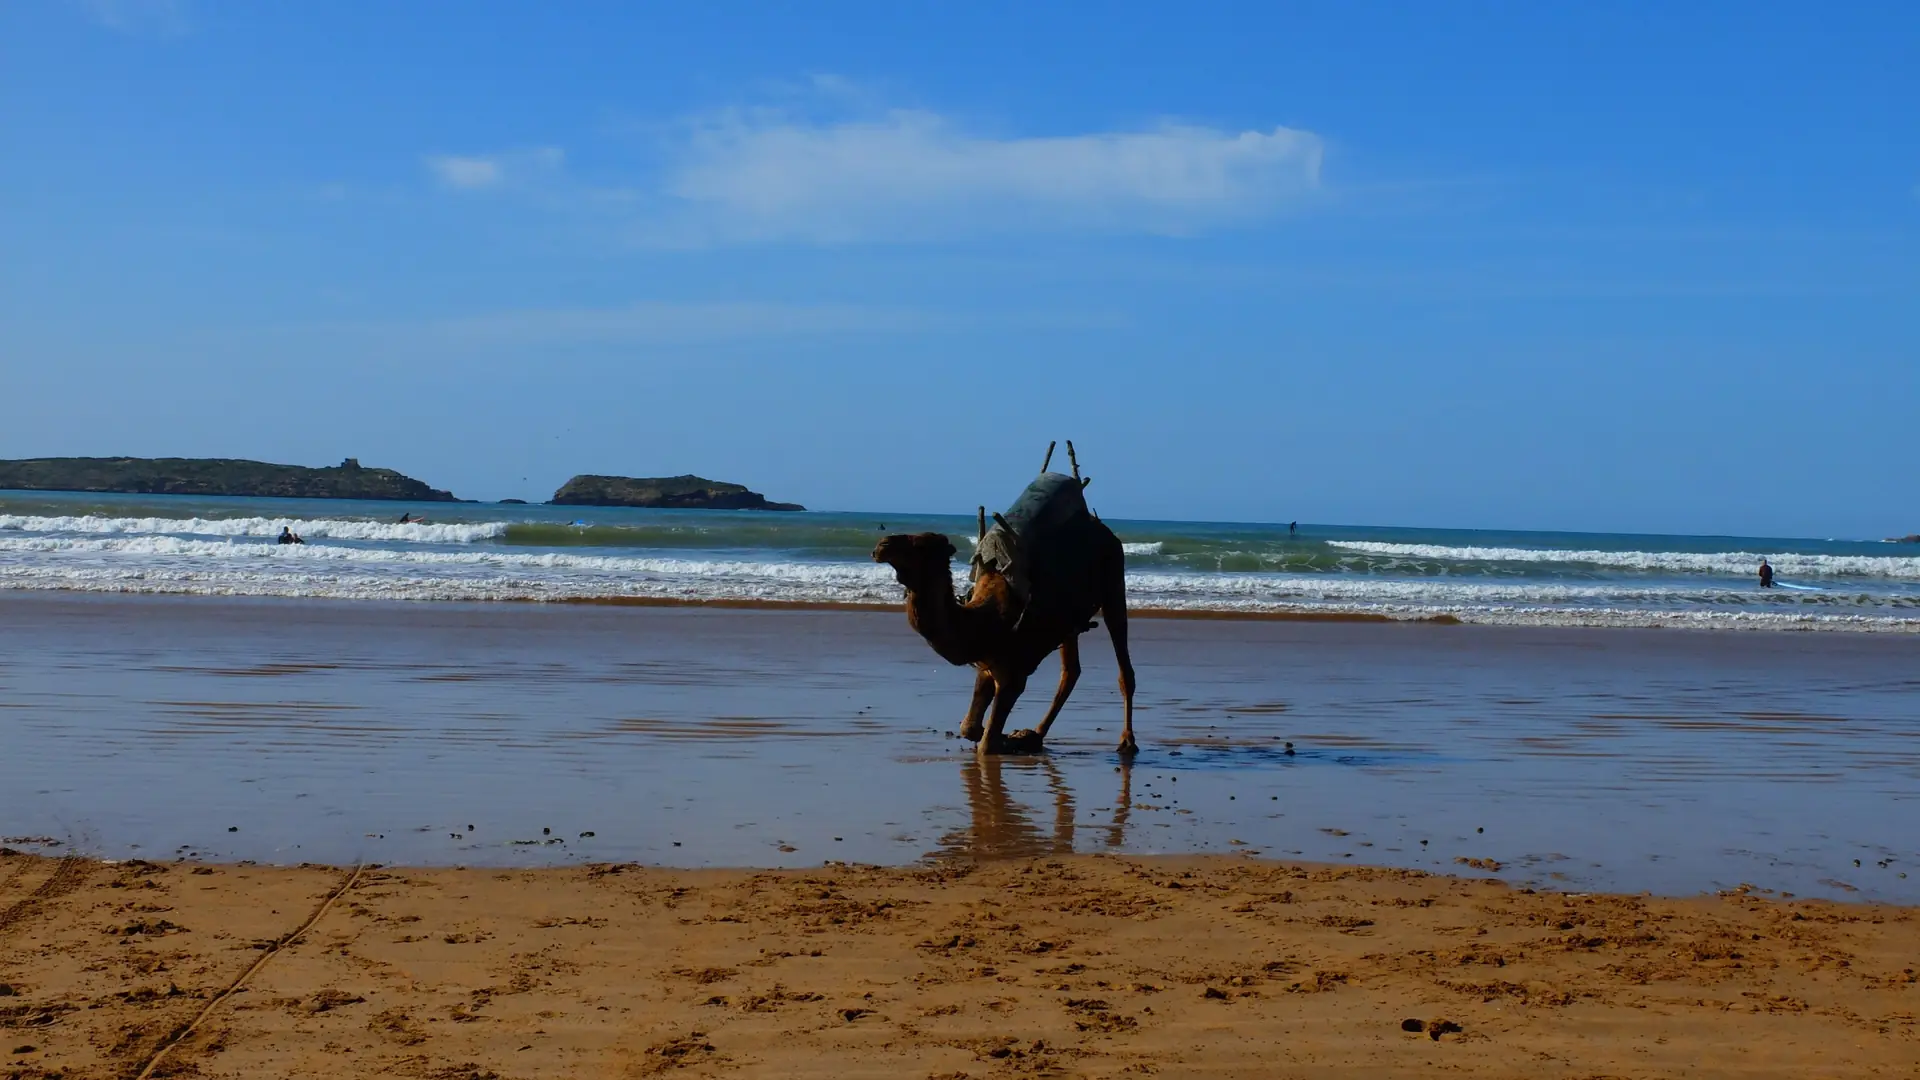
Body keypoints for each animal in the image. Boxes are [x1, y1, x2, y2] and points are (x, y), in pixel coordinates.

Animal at [872, 445, 1137, 755]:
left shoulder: (1013, 673)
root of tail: (1102, 529)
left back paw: (1127, 742)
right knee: (1071, 671)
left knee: (1123, 664)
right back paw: (1034, 735)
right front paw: (1006, 737)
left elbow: (986, 744)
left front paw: (1000, 739)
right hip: (1068, 620)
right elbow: (970, 728)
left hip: (1113, 581)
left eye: (923, 545)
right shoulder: (988, 667)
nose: (882, 545)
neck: (983, 622)